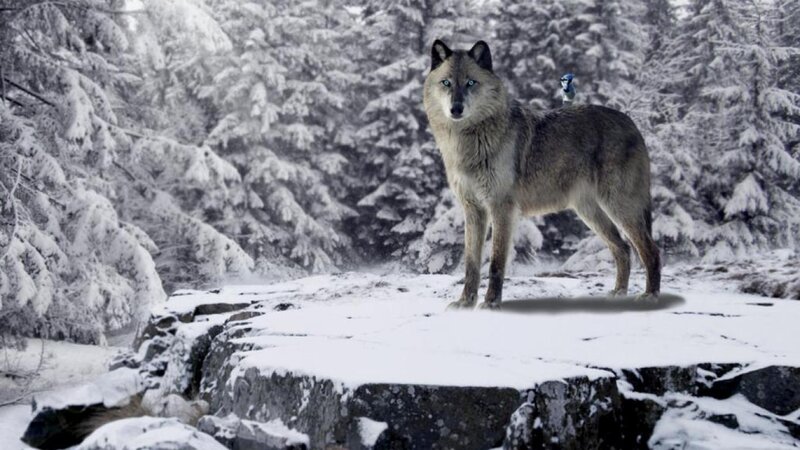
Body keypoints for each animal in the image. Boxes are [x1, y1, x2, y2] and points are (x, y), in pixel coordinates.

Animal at [423, 40, 661, 310]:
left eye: (471, 82)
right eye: (446, 83)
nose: (456, 109)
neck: (470, 141)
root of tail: (631, 122)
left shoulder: (501, 208)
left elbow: (495, 263)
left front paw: (491, 303)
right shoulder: (473, 210)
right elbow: (471, 263)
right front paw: (465, 302)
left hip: (619, 207)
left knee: (651, 250)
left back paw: (650, 296)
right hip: (591, 213)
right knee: (622, 249)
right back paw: (619, 293)